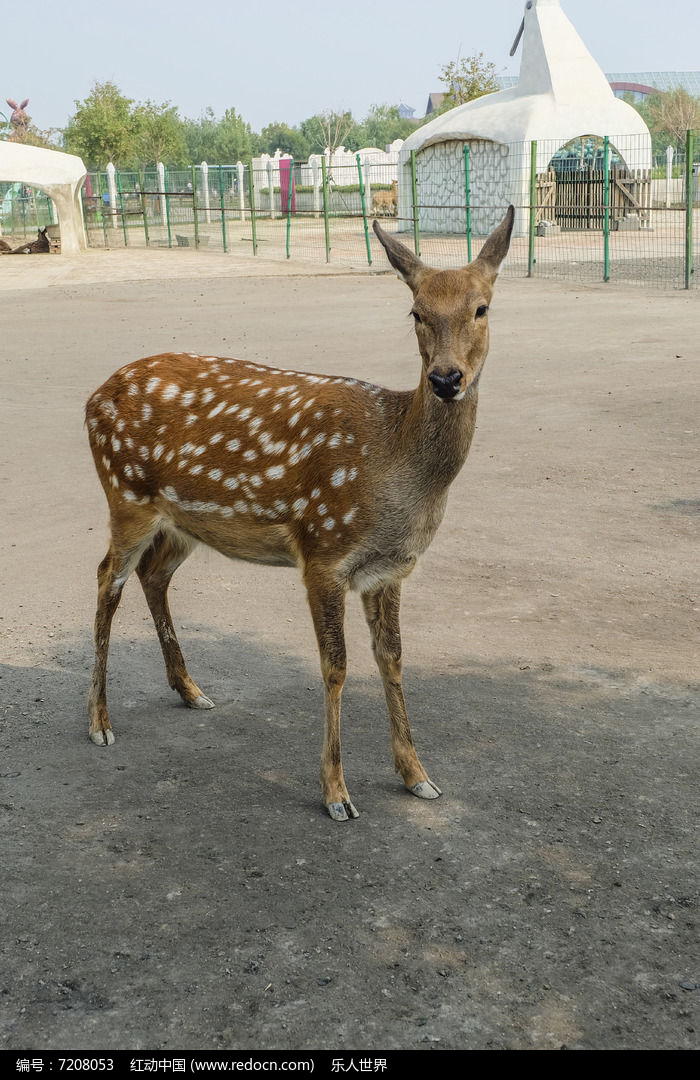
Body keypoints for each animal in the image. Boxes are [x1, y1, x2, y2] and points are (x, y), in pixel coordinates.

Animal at [85, 206, 514, 820]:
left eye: (482, 308)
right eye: (416, 311)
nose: (446, 378)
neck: (396, 468)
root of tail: (92, 398)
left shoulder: (388, 570)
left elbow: (392, 658)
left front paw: (416, 775)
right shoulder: (322, 551)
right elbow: (336, 666)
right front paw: (336, 793)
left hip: (183, 521)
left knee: (153, 574)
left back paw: (191, 691)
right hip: (126, 496)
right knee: (106, 581)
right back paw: (99, 721)